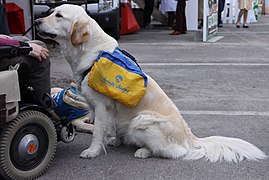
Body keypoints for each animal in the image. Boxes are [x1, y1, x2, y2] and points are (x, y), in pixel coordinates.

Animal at [35, 4, 266, 162]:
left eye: (59, 15)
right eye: (52, 11)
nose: (36, 22)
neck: (91, 54)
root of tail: (189, 137)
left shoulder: (101, 106)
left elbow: (98, 132)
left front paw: (92, 151)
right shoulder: (104, 108)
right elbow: (112, 128)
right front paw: (115, 140)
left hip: (142, 119)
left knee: (175, 152)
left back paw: (143, 151)